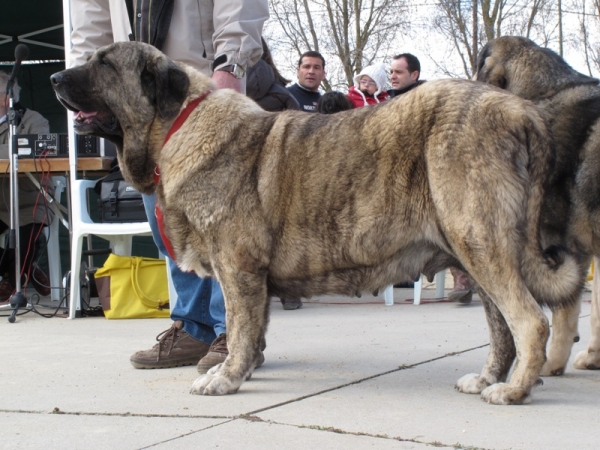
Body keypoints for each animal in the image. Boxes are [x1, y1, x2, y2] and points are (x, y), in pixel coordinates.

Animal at [54, 42, 584, 404]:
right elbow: (254, 331)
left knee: (529, 321)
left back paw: (514, 390)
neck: (179, 123)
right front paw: (243, 370)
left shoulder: (237, 268)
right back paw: (491, 378)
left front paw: (225, 377)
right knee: (502, 327)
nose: (56, 76)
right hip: (475, 250)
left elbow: (240, 329)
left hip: (481, 242)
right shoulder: (249, 276)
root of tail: (520, 110)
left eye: (105, 64)